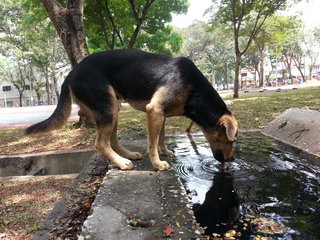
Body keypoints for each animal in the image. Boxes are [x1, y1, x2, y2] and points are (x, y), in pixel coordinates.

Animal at [25, 49, 238, 171]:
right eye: (232, 139)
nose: (232, 159)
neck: (194, 89)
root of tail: (70, 73)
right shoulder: (155, 110)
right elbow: (152, 144)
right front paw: (158, 163)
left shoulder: (162, 115)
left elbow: (161, 138)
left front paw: (165, 151)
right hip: (108, 107)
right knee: (101, 143)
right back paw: (121, 163)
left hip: (113, 108)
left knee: (111, 140)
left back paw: (127, 155)